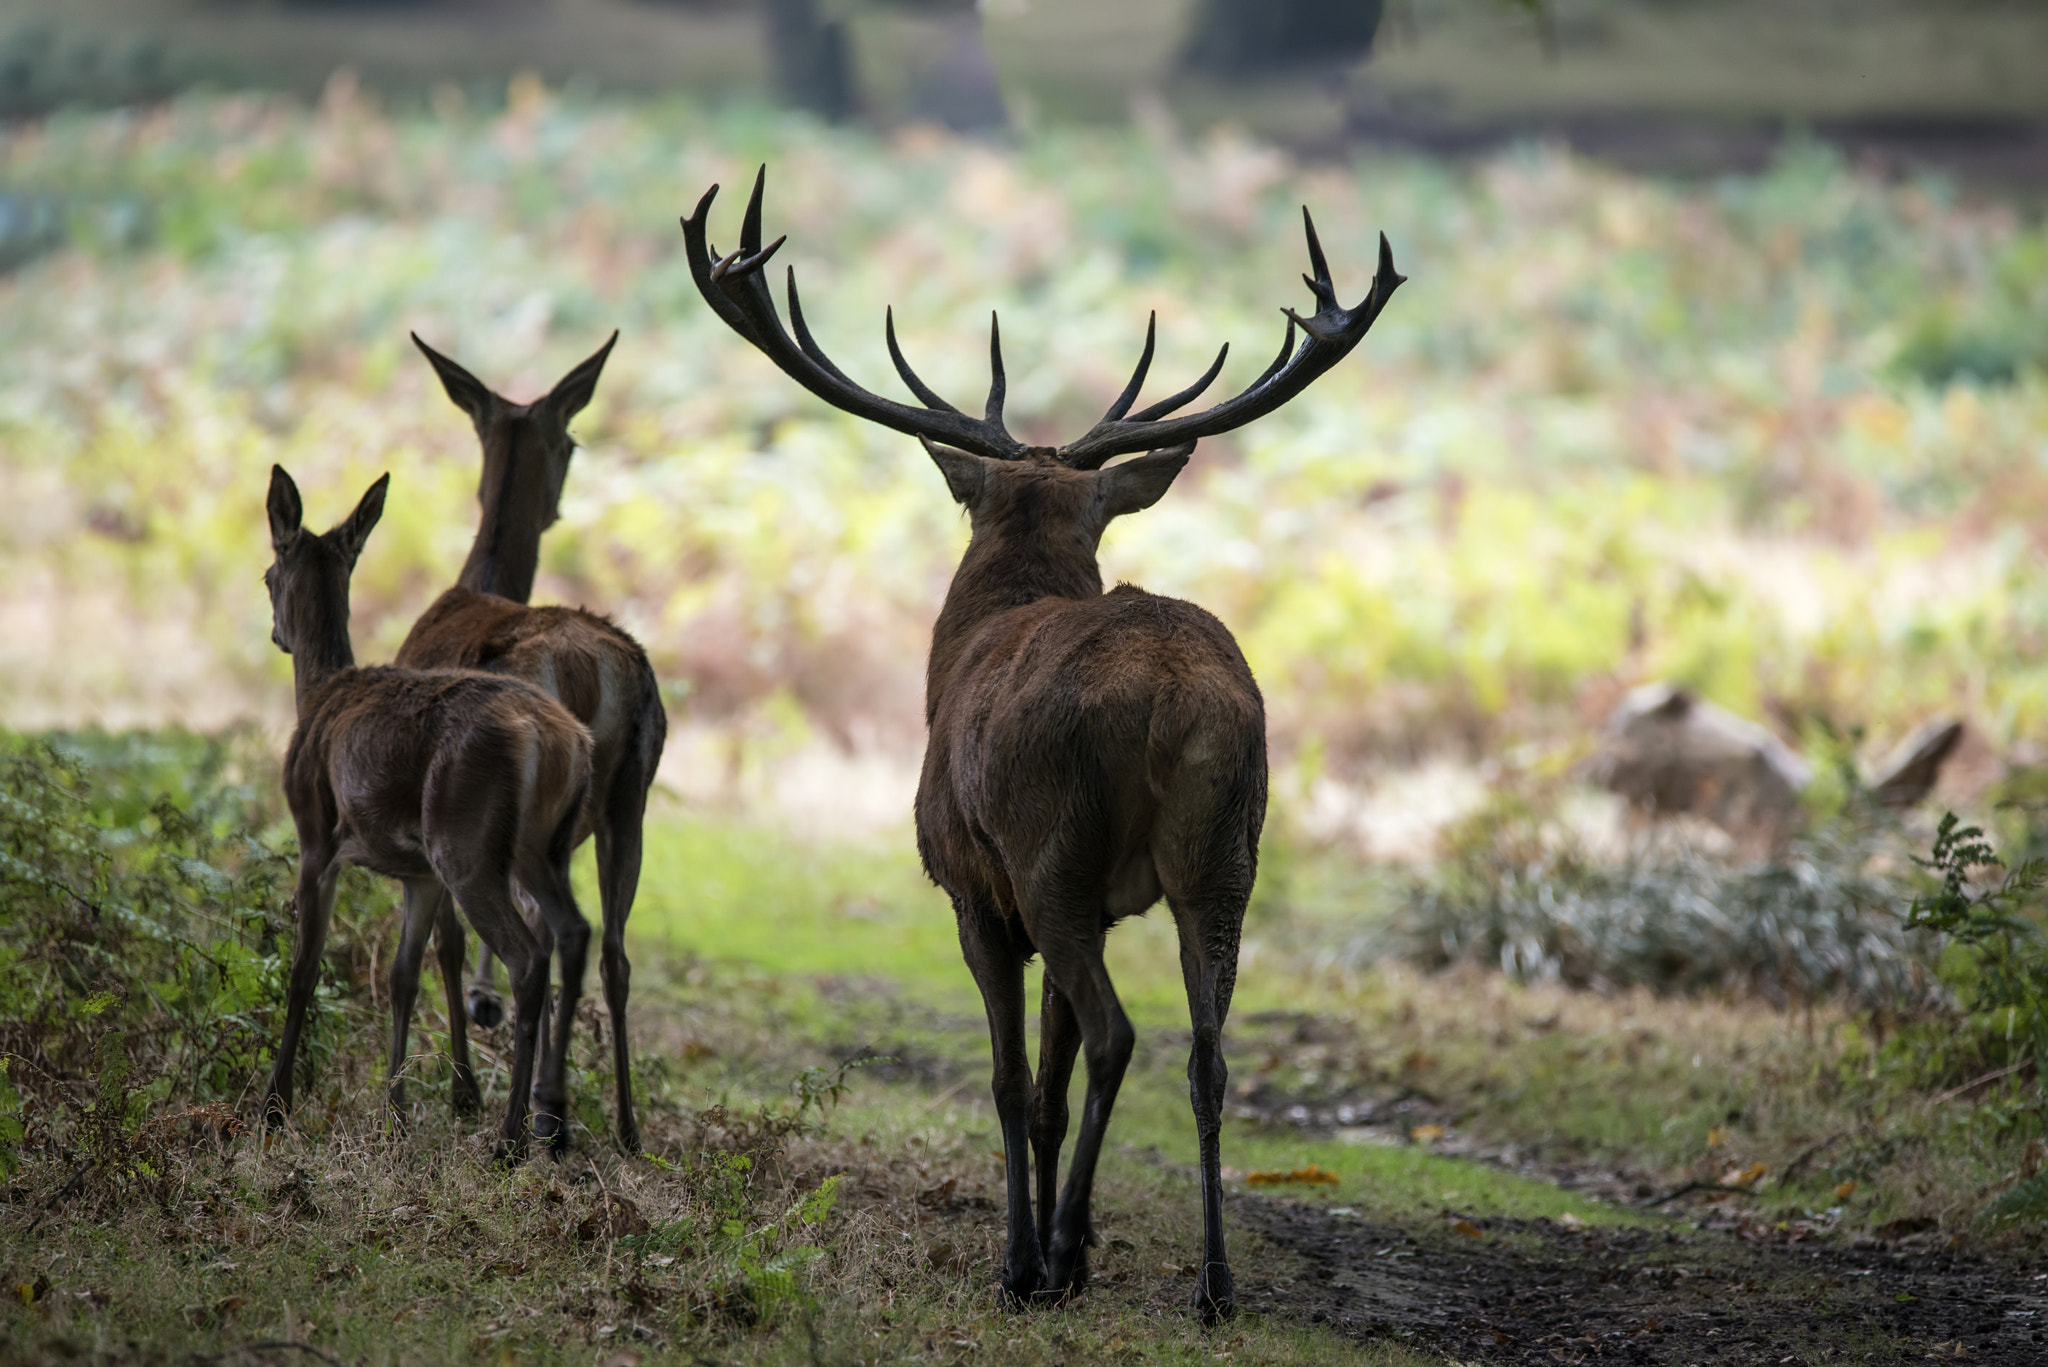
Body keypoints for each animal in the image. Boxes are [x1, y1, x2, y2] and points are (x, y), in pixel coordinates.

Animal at [260, 465, 595, 1161]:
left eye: (267, 575)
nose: (275, 631)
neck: (319, 694)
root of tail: (563, 741)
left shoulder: (315, 834)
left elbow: (304, 967)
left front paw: (274, 1105)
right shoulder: (416, 874)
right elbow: (402, 977)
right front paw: (395, 1117)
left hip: (465, 842)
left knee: (528, 958)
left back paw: (511, 1139)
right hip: (539, 848)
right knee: (575, 932)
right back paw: (551, 1123)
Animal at [392, 331, 666, 1155]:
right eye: (571, 441)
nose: (556, 503)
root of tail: (587, 668)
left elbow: (445, 942)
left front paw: (463, 1087)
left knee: (556, 937)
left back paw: (542, 1111)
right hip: (627, 795)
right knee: (612, 949)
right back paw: (614, 1122)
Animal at [681, 168, 1403, 1321]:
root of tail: (1173, 697)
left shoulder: (974, 889)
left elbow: (1014, 1078)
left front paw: (1026, 1257)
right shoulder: (1107, 902)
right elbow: (1054, 1087)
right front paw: (1082, 1249)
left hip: (1051, 848)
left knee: (1118, 1034)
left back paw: (1049, 1254)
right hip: (1225, 853)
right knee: (1206, 1053)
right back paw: (1210, 1281)